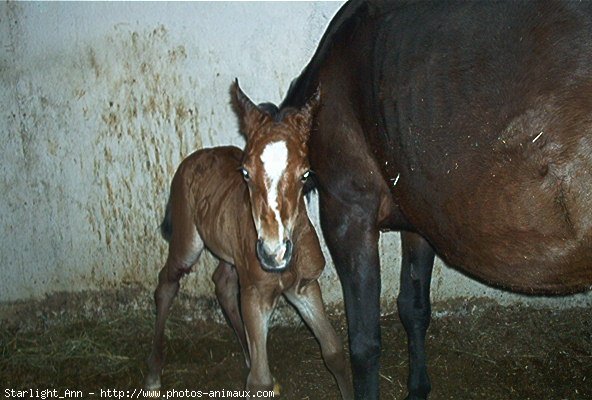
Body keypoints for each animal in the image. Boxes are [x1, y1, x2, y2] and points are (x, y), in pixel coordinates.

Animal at [146, 80, 354, 396]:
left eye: (306, 174)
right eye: (245, 172)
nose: (272, 253)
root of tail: (194, 157)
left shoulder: (305, 287)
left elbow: (333, 351)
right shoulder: (256, 294)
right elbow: (259, 382)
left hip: (230, 250)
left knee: (222, 282)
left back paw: (246, 354)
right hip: (188, 242)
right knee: (166, 284)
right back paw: (154, 376)